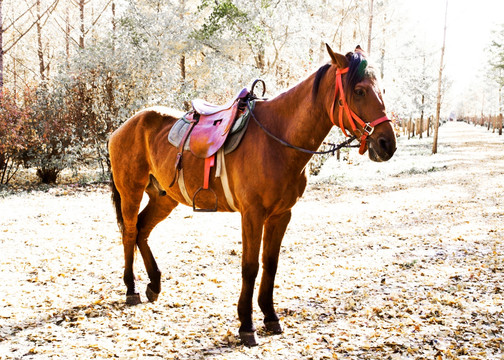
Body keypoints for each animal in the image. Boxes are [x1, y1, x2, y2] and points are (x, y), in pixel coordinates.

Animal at [108, 45, 396, 346]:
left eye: (382, 90)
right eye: (359, 91)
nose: (387, 143)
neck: (278, 139)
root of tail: (123, 127)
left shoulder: (281, 215)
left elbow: (270, 264)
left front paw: (270, 316)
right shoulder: (252, 215)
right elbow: (250, 267)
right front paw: (246, 324)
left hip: (164, 197)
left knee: (142, 230)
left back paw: (153, 284)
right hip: (131, 192)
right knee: (130, 232)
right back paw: (131, 289)